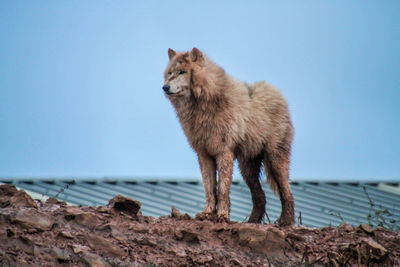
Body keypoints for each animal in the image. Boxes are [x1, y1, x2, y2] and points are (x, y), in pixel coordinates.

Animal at [162, 47, 294, 226]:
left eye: (182, 72)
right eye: (170, 73)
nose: (165, 87)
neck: (203, 106)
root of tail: (278, 94)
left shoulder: (224, 153)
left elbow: (223, 189)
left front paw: (223, 216)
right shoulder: (204, 155)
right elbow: (210, 189)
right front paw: (207, 213)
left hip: (275, 161)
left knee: (288, 193)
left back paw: (286, 222)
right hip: (247, 169)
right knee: (260, 197)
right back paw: (252, 222)